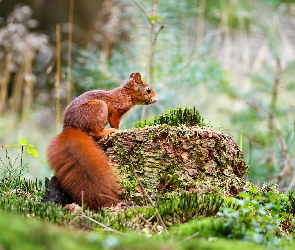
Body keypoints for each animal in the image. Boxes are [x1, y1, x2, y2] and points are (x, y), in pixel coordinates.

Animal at [46, 72, 157, 209]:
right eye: (148, 90)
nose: (155, 99)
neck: (125, 93)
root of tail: (69, 128)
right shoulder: (116, 111)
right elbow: (115, 122)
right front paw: (118, 129)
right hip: (99, 108)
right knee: (94, 132)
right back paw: (108, 131)